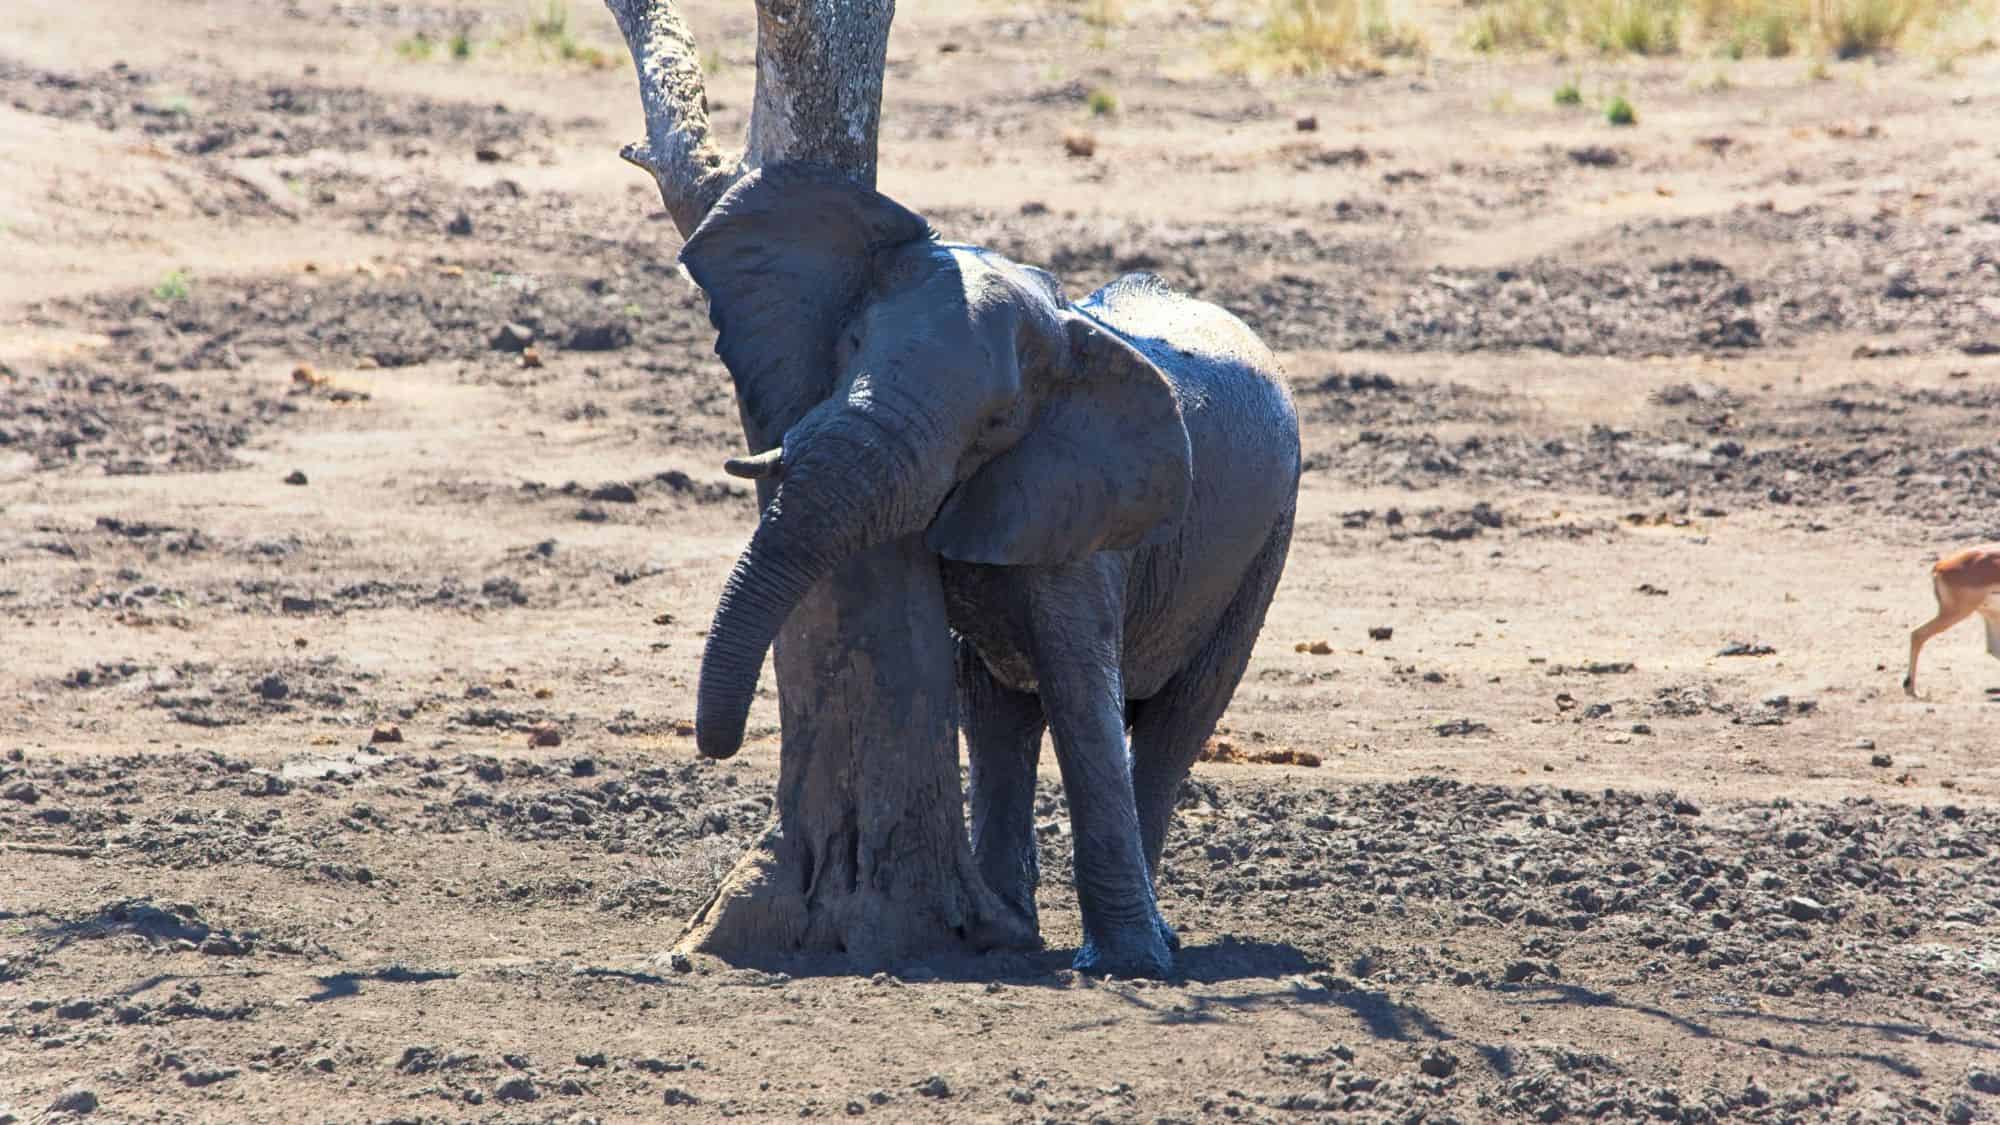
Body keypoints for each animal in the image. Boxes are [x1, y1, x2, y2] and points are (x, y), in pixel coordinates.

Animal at [682, 165, 1301, 978]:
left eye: (998, 421)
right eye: (851, 343)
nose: (716, 744)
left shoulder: (1086, 502)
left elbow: (1080, 690)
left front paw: (1125, 966)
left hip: (1267, 537)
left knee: (1179, 719)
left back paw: (1143, 946)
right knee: (996, 710)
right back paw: (1009, 927)